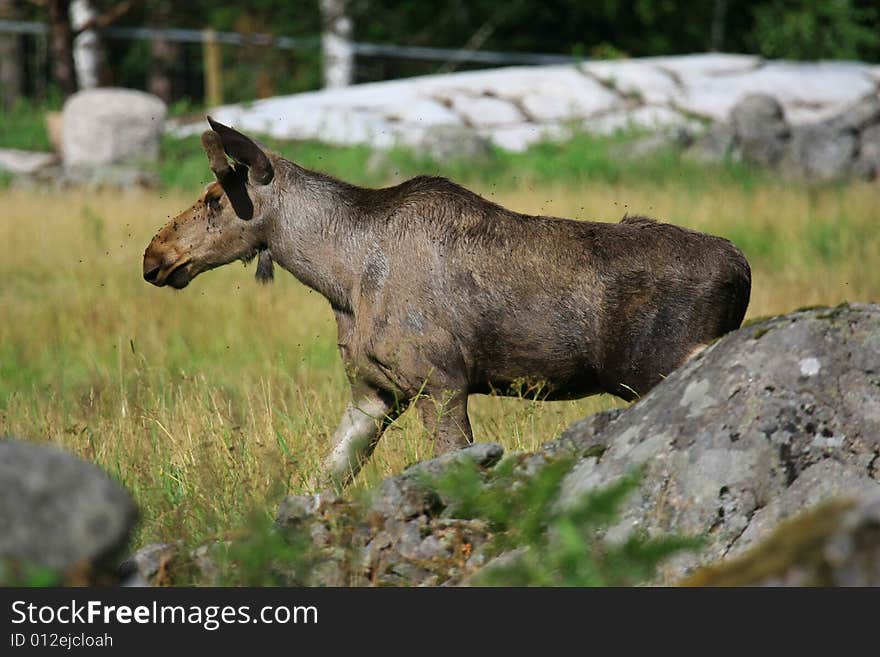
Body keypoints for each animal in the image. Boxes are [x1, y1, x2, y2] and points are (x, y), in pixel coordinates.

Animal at [143, 118, 748, 486]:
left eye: (215, 197)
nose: (154, 254)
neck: (341, 279)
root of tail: (743, 269)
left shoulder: (442, 380)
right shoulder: (375, 392)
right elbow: (322, 482)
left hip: (665, 366)